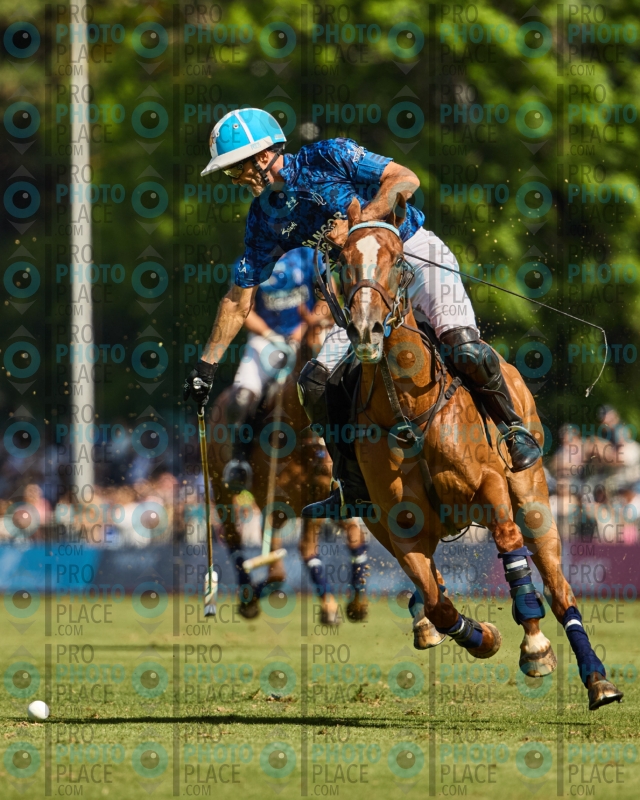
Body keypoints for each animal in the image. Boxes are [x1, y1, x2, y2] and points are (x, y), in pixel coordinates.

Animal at [207, 300, 369, 625]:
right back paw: (250, 596)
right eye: (310, 352)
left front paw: (355, 605)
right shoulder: (275, 500)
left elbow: (350, 538)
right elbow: (291, 557)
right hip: (222, 489)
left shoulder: (325, 494)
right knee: (233, 537)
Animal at [325, 195, 622, 711]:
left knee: (558, 585)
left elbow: (508, 547)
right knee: (431, 589)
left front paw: (534, 645)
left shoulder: (489, 485)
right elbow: (436, 598)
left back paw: (598, 680)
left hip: (534, 495)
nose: (365, 330)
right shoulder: (399, 520)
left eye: (397, 261)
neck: (408, 406)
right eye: (342, 262)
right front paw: (480, 635)